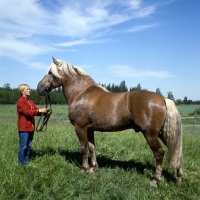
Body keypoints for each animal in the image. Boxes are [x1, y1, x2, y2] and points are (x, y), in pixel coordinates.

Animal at [37, 57, 186, 186]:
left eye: (50, 72)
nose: (39, 88)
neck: (81, 93)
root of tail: (163, 98)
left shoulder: (80, 128)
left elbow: (84, 148)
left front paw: (84, 169)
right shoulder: (90, 129)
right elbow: (92, 147)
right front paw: (93, 168)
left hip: (150, 134)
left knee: (159, 153)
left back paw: (155, 180)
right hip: (162, 133)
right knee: (175, 150)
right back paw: (180, 176)